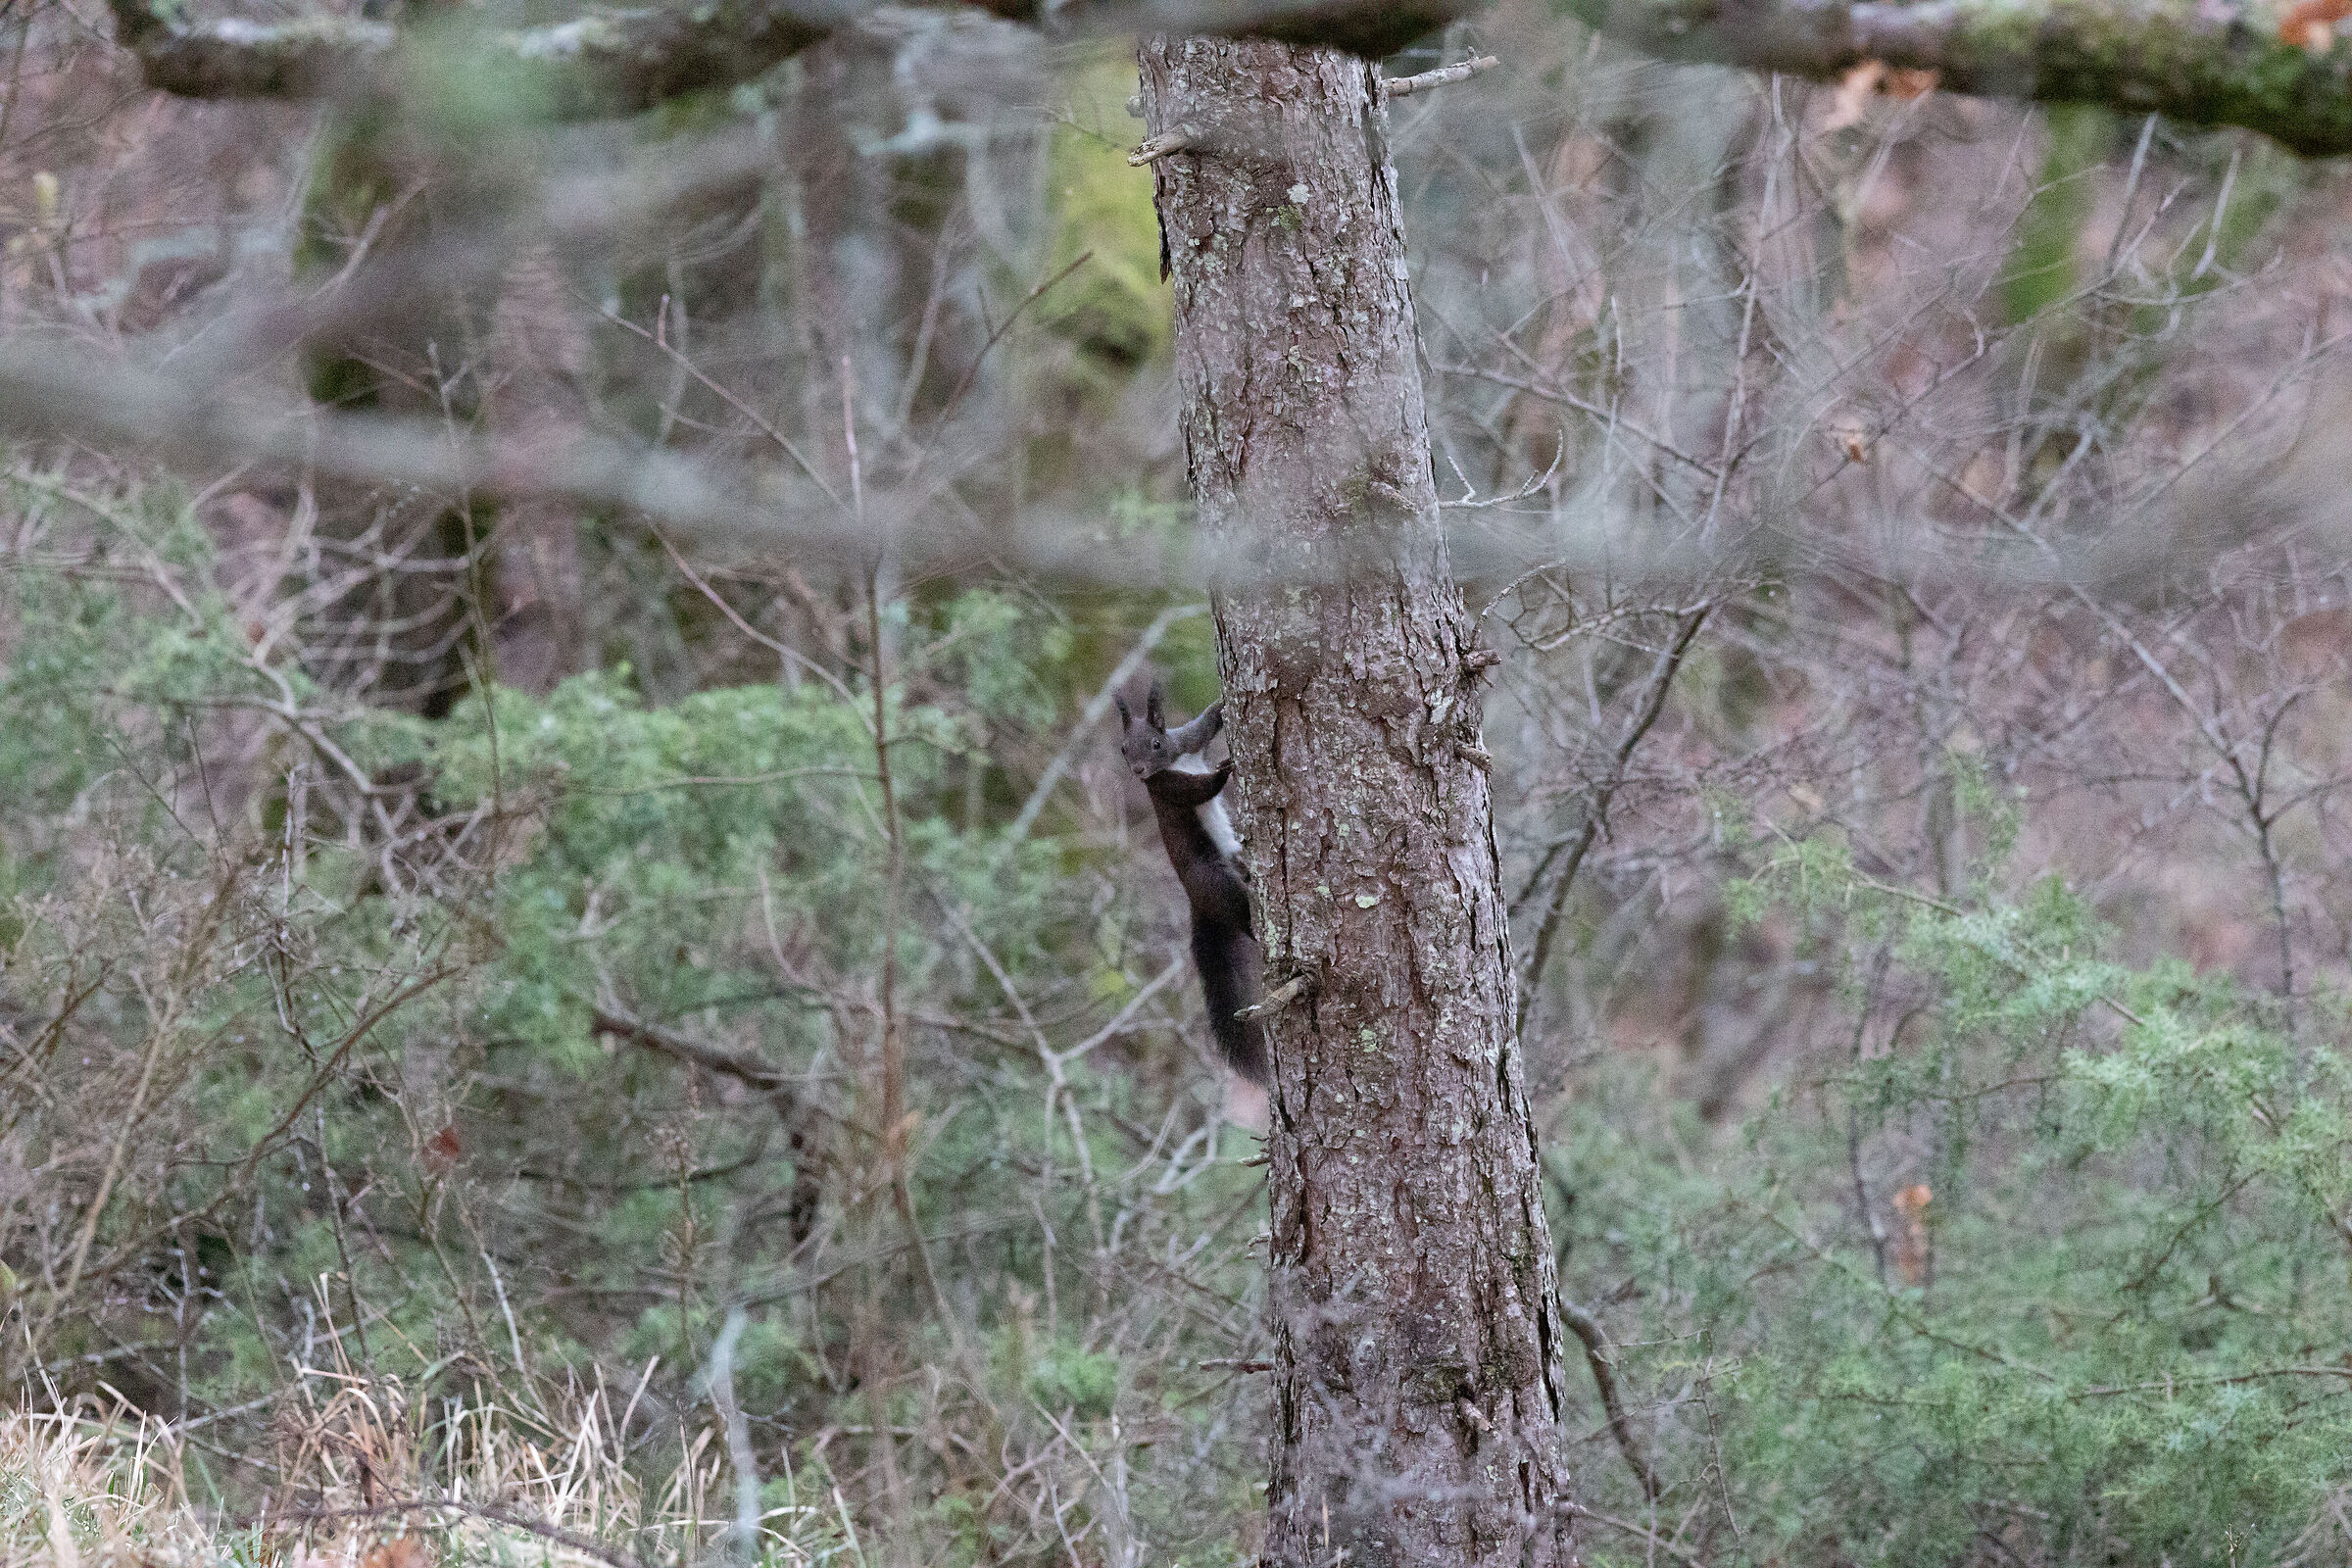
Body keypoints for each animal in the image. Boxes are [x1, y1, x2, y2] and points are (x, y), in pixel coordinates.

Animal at [1116, 684, 1269, 1085]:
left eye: (1155, 742)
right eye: (1123, 748)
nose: (1138, 771)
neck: (1175, 761)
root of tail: (1197, 902)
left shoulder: (1189, 740)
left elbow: (1207, 722)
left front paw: (1222, 704)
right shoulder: (1167, 788)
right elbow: (1199, 791)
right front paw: (1223, 771)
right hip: (1215, 881)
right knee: (1242, 916)